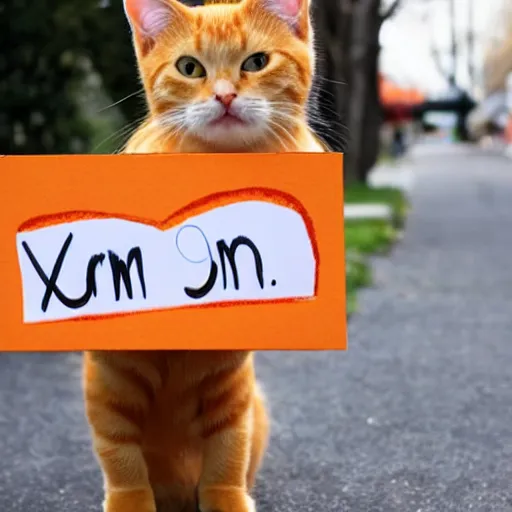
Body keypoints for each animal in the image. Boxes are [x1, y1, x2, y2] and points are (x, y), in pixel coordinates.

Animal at [84, 1, 324, 512]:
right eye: (189, 68)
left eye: (256, 62)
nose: (225, 95)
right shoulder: (109, 380)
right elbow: (121, 457)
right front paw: (131, 502)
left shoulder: (230, 386)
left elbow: (227, 452)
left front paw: (226, 500)